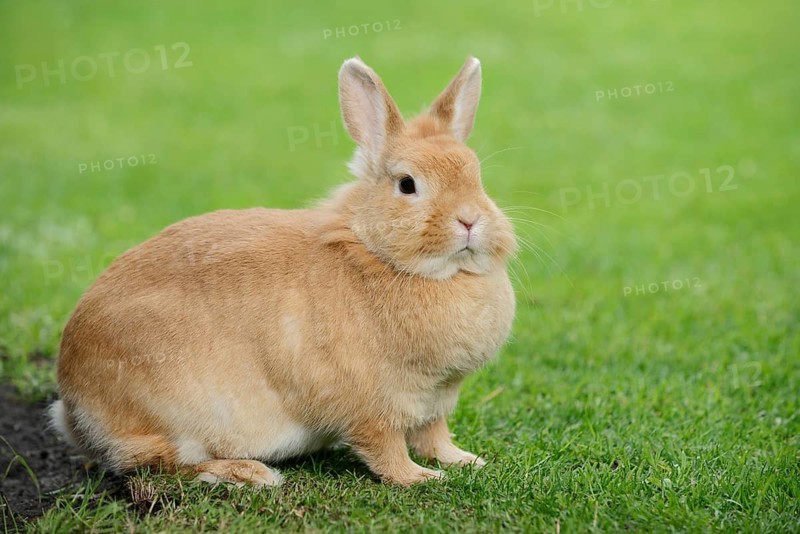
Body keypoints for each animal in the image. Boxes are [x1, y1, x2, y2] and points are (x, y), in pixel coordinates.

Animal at [50, 56, 517, 487]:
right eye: (407, 184)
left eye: (477, 177)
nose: (470, 220)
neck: (377, 255)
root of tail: (72, 402)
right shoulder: (372, 405)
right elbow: (386, 450)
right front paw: (421, 479)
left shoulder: (435, 402)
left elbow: (435, 436)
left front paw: (467, 461)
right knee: (156, 462)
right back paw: (249, 474)